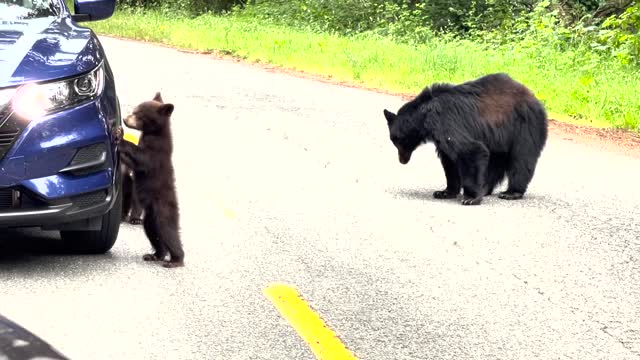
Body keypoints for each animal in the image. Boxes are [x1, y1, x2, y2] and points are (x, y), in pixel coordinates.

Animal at [119, 93, 184, 268]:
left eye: (138, 114)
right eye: (134, 110)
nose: (125, 119)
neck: (155, 134)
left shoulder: (157, 150)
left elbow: (142, 158)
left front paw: (119, 136)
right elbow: (132, 163)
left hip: (163, 210)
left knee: (168, 231)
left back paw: (175, 260)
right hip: (149, 219)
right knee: (154, 234)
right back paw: (155, 255)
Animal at [382, 72, 548, 205]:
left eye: (396, 140)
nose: (402, 160)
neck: (423, 115)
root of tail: (536, 99)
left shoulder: (444, 121)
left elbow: (470, 150)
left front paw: (471, 198)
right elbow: (449, 161)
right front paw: (445, 192)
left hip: (524, 126)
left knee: (521, 158)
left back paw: (511, 192)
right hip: (498, 136)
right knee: (495, 160)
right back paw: (485, 188)